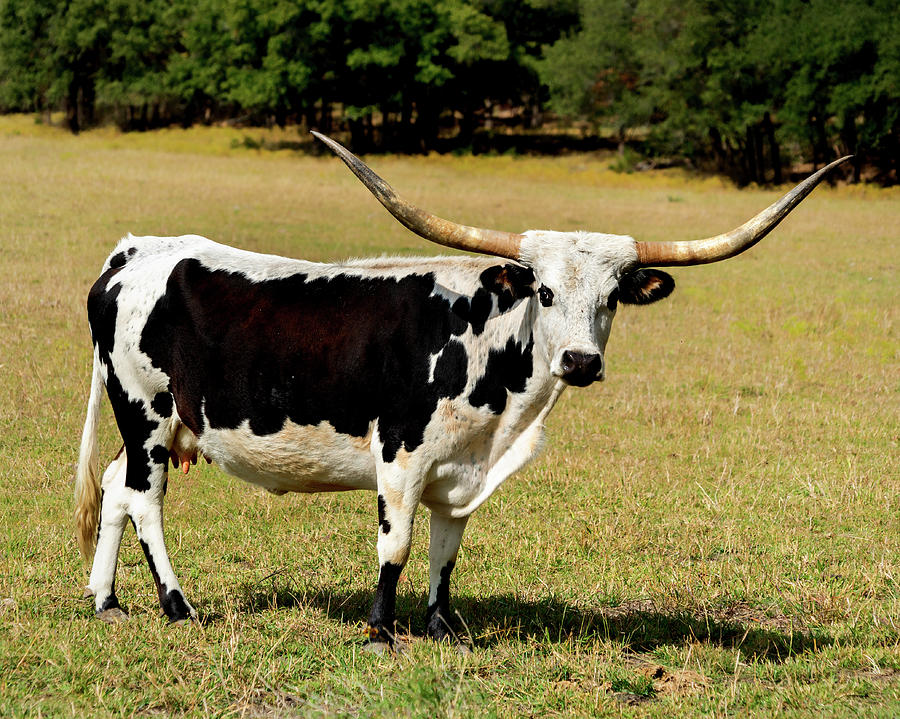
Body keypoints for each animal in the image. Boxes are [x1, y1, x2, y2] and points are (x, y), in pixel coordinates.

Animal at [77, 132, 852, 648]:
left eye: (613, 298)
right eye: (544, 291)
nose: (579, 361)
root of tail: (136, 251)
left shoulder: (463, 471)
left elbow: (446, 550)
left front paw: (443, 625)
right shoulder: (401, 456)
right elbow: (395, 546)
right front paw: (381, 630)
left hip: (151, 424)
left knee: (114, 487)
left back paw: (106, 600)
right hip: (145, 412)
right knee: (144, 500)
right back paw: (178, 605)